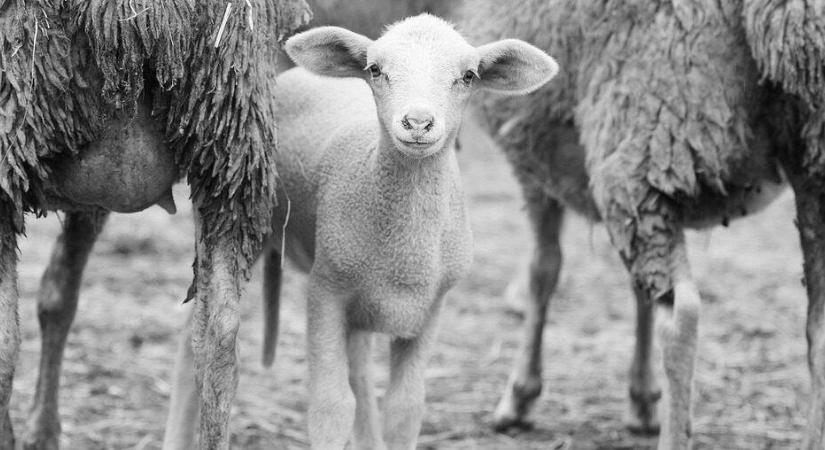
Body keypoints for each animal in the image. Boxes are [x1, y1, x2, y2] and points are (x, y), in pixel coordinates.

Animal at [0, 1, 308, 448]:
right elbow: (59, 296)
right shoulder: (93, 199)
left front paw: (38, 430)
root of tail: (133, 14)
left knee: (5, 340)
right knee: (219, 338)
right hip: (232, 136)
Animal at [160, 14, 556, 450]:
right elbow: (331, 405)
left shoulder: (430, 307)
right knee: (194, 339)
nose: (418, 123)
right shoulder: (326, 292)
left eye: (468, 76)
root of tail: (293, 76)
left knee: (360, 368)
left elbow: (404, 408)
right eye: (376, 70)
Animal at [464, 0, 824, 450]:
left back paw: (674, 435)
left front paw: (519, 398)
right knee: (819, 329)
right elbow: (636, 292)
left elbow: (543, 270)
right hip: (808, 158)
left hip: (645, 135)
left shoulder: (533, 158)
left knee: (682, 317)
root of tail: (784, 13)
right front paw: (642, 400)